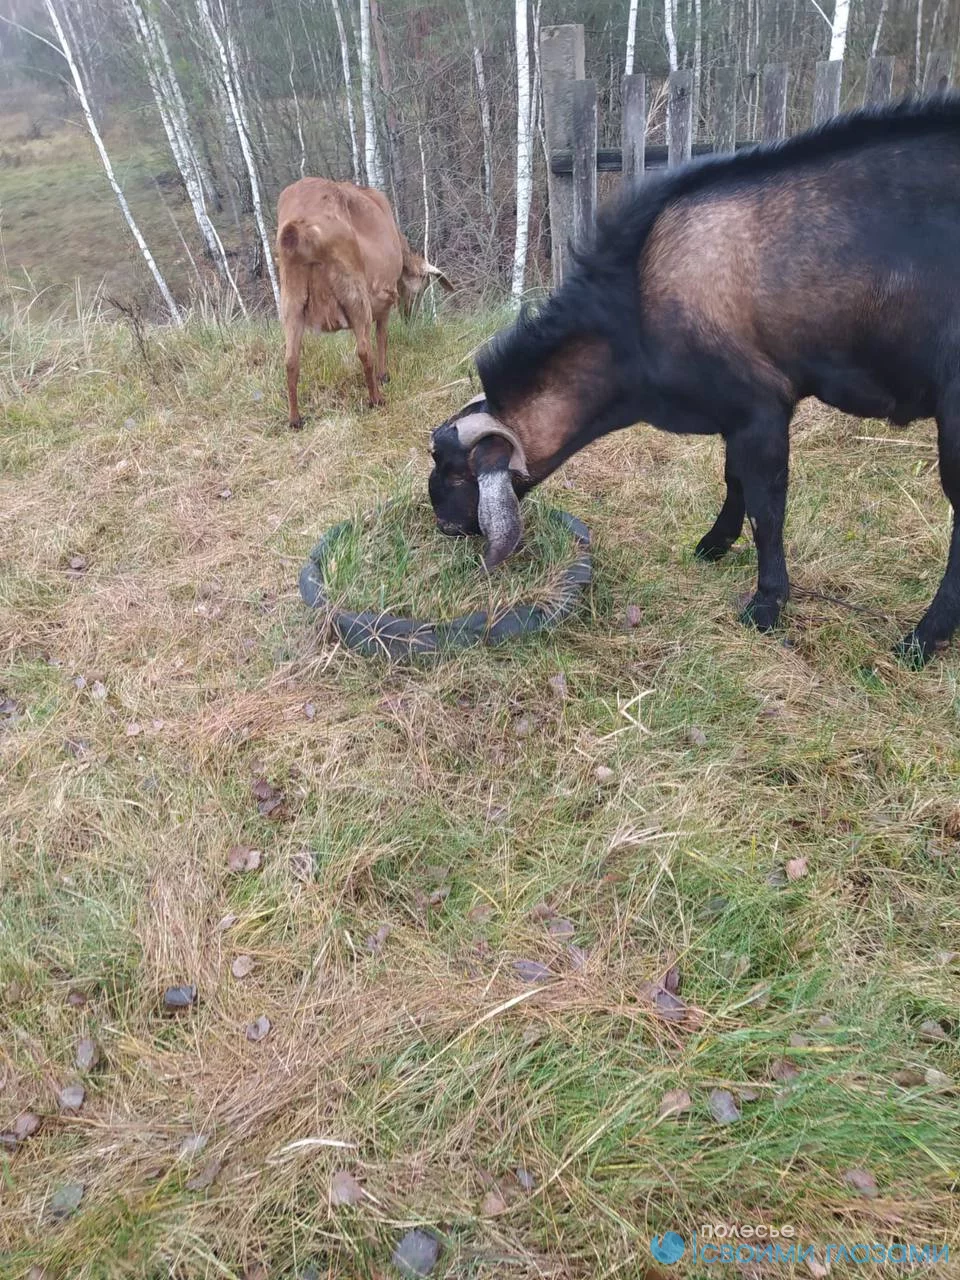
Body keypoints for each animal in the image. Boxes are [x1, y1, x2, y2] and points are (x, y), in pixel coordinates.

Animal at [277, 177, 452, 425]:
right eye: (423, 288)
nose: (410, 317)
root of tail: (299, 230)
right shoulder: (385, 299)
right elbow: (382, 337)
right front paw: (384, 375)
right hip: (354, 294)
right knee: (363, 350)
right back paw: (376, 399)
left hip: (291, 300)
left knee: (291, 360)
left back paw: (295, 419)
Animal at [428, 96, 960, 666]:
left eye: (456, 473)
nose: (442, 522)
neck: (634, 311)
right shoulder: (734, 412)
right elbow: (735, 481)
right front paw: (714, 545)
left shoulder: (761, 408)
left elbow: (766, 507)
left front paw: (766, 605)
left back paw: (924, 638)